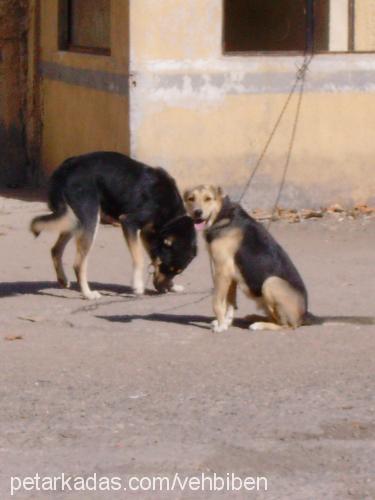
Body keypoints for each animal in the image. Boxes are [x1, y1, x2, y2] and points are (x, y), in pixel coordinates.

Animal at [30, 148, 198, 296]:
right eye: (167, 266)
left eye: (177, 271)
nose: (163, 290)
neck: (171, 216)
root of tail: (66, 168)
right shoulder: (129, 222)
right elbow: (139, 258)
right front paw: (137, 285)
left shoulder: (148, 233)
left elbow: (152, 255)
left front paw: (172, 286)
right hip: (89, 218)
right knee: (78, 263)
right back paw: (88, 294)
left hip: (74, 220)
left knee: (56, 250)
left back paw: (63, 280)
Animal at [184, 186, 310, 330]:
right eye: (191, 199)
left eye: (208, 198)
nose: (197, 212)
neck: (222, 215)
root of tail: (303, 316)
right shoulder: (231, 274)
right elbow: (230, 302)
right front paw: (226, 322)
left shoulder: (222, 270)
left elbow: (216, 302)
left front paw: (221, 326)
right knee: (273, 318)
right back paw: (254, 317)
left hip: (270, 283)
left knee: (285, 326)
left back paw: (259, 325)